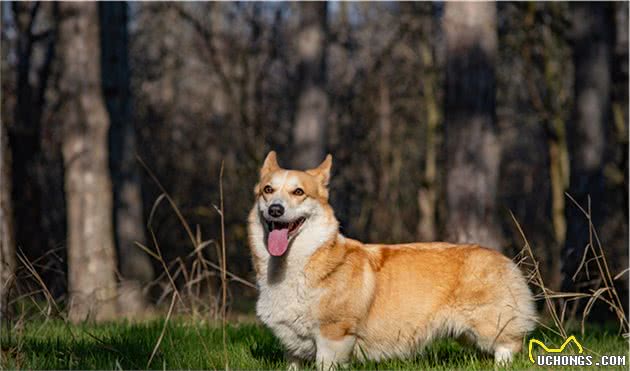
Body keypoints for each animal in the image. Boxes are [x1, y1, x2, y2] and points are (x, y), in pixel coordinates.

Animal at [249, 153, 536, 370]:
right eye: (268, 190)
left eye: (298, 192)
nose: (276, 209)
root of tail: (505, 259)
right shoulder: (293, 347)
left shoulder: (333, 336)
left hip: (489, 324)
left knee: (509, 346)